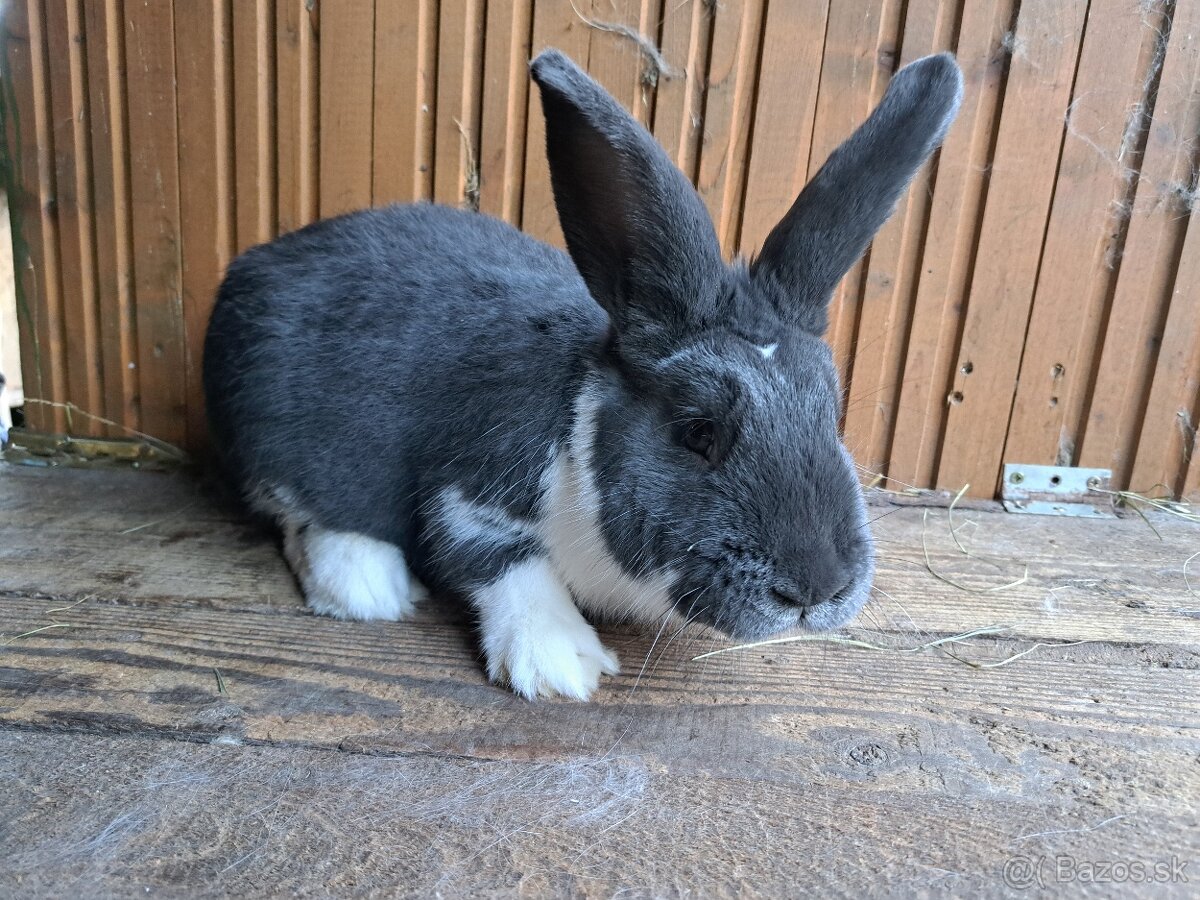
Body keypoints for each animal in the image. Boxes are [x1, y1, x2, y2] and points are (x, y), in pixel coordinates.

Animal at [201, 45, 960, 700]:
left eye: (831, 413)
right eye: (697, 431)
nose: (819, 590)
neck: (580, 424)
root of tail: (256, 265)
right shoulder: (471, 485)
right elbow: (499, 558)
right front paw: (564, 664)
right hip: (272, 431)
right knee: (297, 512)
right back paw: (367, 586)